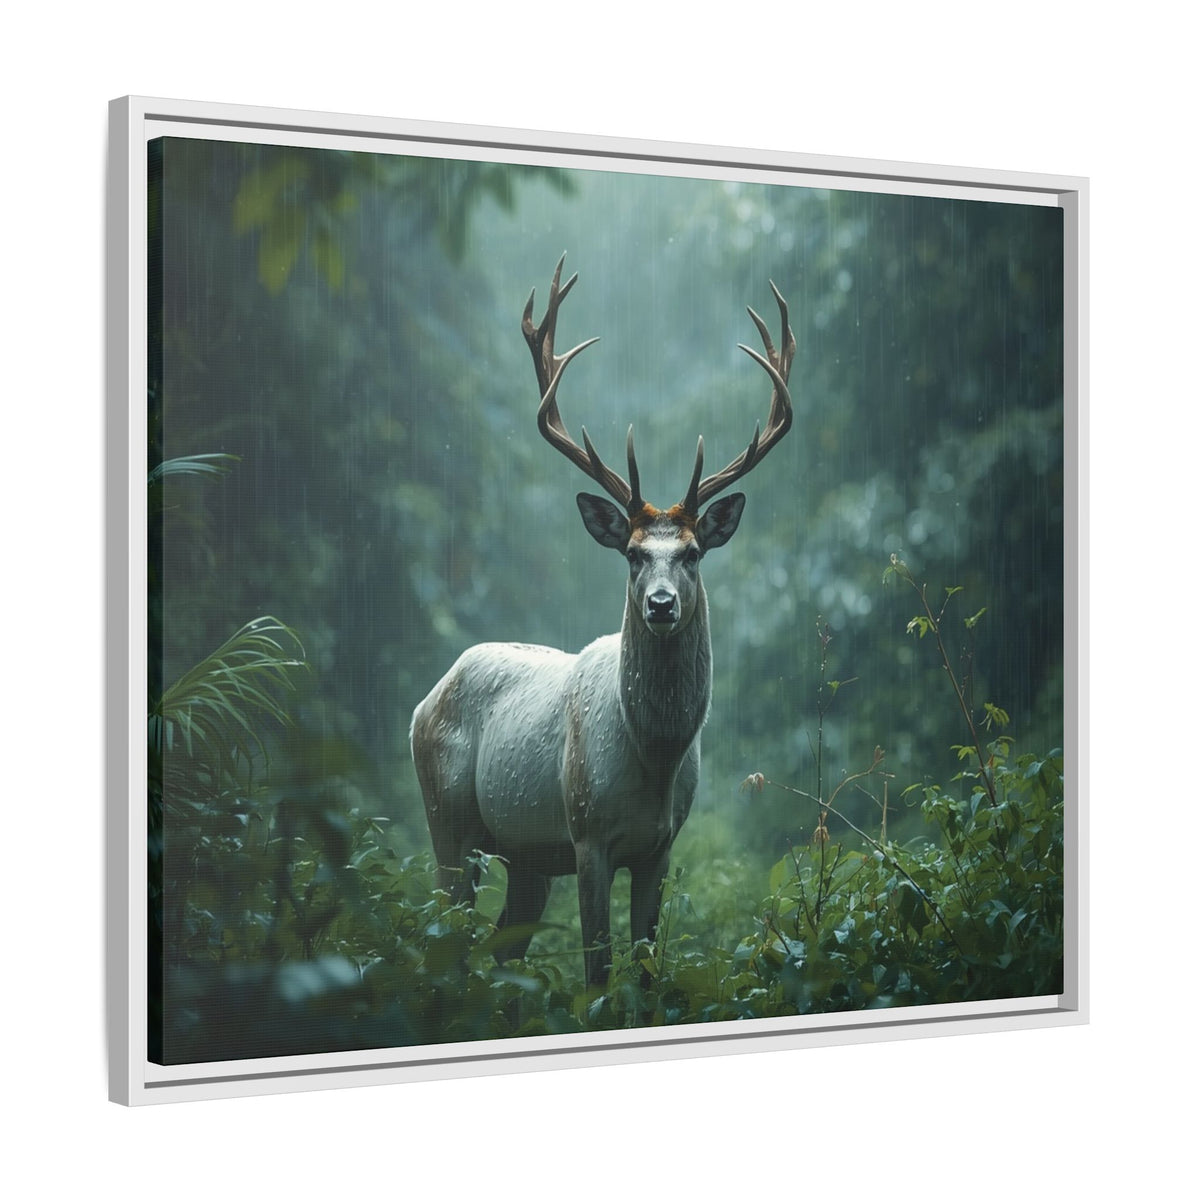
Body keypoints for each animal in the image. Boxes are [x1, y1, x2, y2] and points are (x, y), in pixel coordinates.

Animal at [410, 255, 794, 990]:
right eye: (634, 554)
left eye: (693, 552)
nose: (661, 605)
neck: (653, 758)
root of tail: (427, 696)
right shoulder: (587, 833)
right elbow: (597, 970)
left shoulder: (661, 847)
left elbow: (644, 967)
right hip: (449, 821)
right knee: (443, 939)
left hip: (526, 855)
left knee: (502, 949)